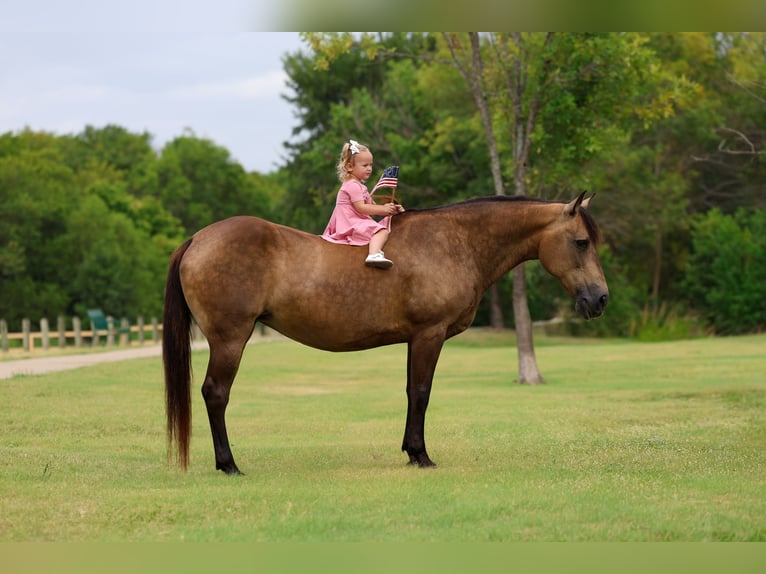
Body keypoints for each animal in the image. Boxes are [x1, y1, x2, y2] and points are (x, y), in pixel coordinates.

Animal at [163, 192, 609, 475]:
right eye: (581, 242)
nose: (600, 299)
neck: (455, 241)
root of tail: (198, 239)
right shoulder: (429, 335)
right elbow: (422, 393)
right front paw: (421, 456)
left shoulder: (416, 339)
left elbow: (412, 392)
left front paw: (411, 452)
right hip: (230, 340)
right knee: (216, 394)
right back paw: (229, 465)